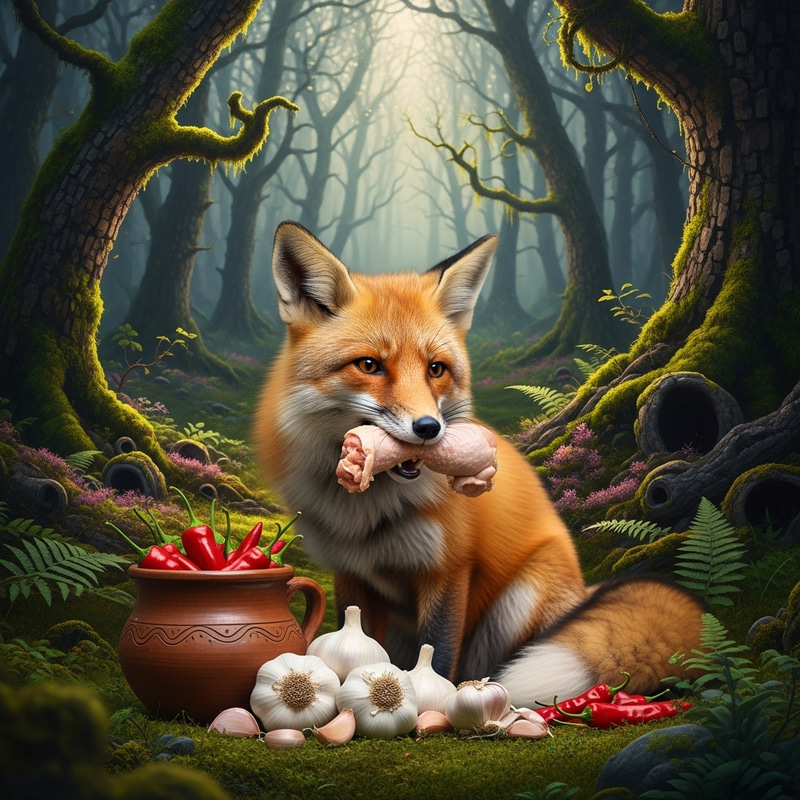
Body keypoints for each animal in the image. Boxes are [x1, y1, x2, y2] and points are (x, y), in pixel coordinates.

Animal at [254, 220, 705, 707]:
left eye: (435, 369)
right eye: (369, 365)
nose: (429, 428)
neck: (368, 517)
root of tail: (584, 589)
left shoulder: (450, 570)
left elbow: (436, 652)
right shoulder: (354, 577)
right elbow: (357, 638)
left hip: (519, 601)